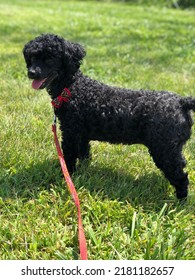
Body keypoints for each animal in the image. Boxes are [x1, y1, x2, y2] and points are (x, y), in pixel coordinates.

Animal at [23, 33, 195, 199]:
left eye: (50, 58)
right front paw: (84, 173)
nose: (31, 72)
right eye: (32, 56)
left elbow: (69, 157)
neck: (73, 87)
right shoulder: (82, 135)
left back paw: (180, 200)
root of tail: (181, 102)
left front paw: (67, 176)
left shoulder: (70, 133)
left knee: (181, 177)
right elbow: (84, 155)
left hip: (165, 150)